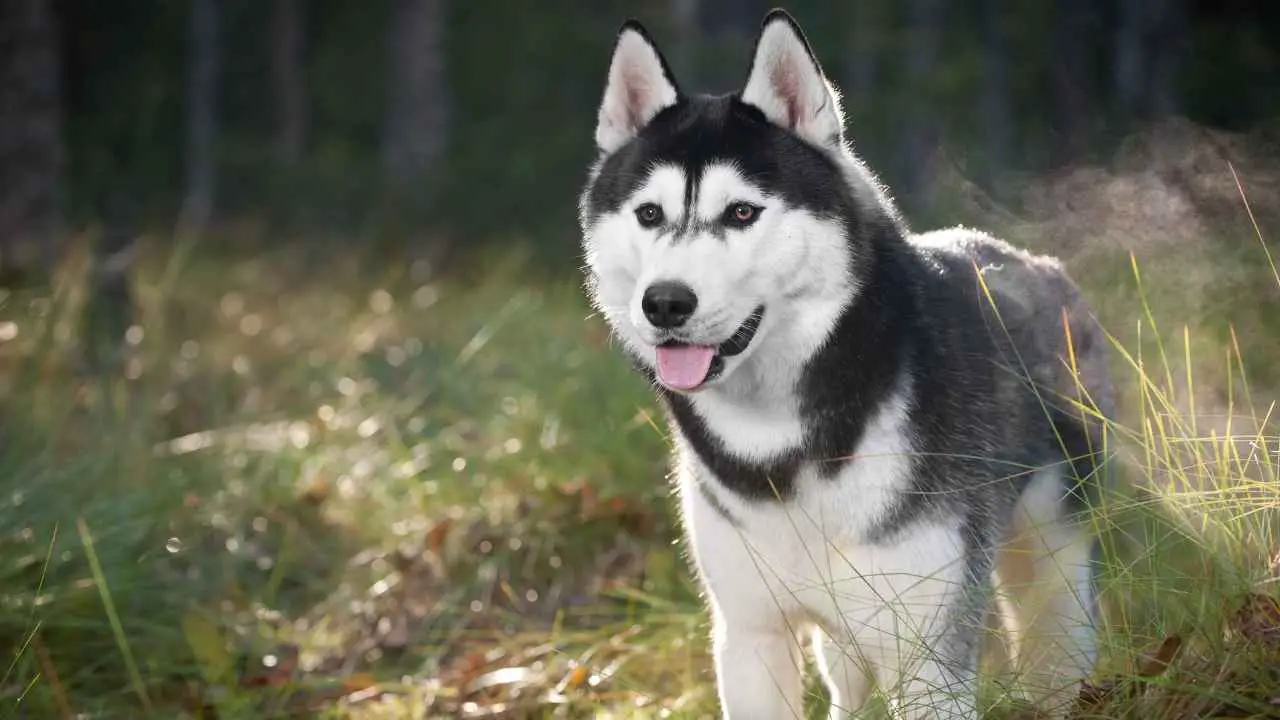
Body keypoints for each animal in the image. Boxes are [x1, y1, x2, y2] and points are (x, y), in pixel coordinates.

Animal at [578, 8, 1111, 712]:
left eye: (741, 212)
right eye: (648, 213)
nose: (664, 303)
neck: (781, 445)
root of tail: (1037, 264)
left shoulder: (927, 655)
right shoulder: (751, 636)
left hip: (1051, 566)